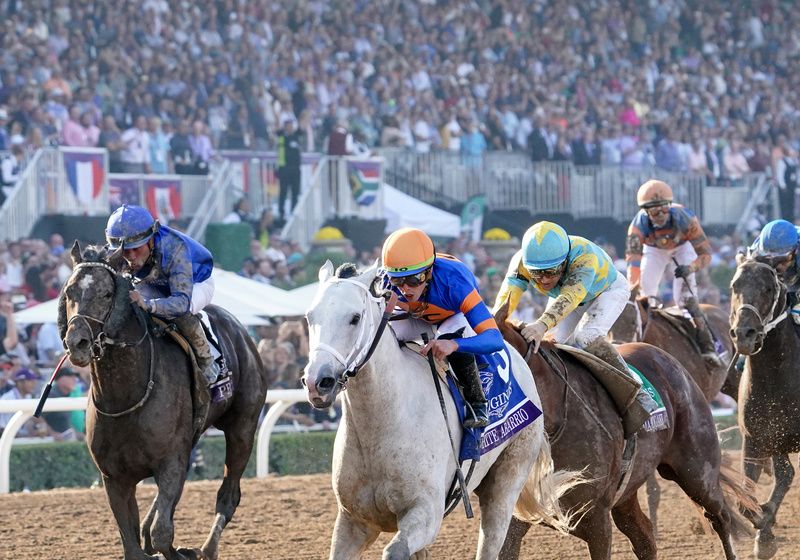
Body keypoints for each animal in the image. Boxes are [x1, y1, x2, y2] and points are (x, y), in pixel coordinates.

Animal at [57, 242, 268, 560]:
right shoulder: (114, 477)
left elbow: (163, 533)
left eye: (106, 293)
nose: (76, 342)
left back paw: (208, 548)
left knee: (229, 494)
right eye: (69, 292)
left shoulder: (170, 460)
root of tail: (242, 331)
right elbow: (133, 542)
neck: (125, 398)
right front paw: (148, 542)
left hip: (242, 426)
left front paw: (180, 551)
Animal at [304, 262, 580, 560]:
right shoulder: (352, 521)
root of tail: (518, 358)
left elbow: (394, 551)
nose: (318, 382)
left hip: (508, 476)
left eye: (354, 318)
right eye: (309, 317)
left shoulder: (426, 513)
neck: (381, 424)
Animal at [494, 304, 752, 560]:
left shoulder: (596, 519)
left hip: (697, 472)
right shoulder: (515, 517)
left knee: (720, 517)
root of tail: (676, 367)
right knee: (644, 537)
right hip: (628, 493)